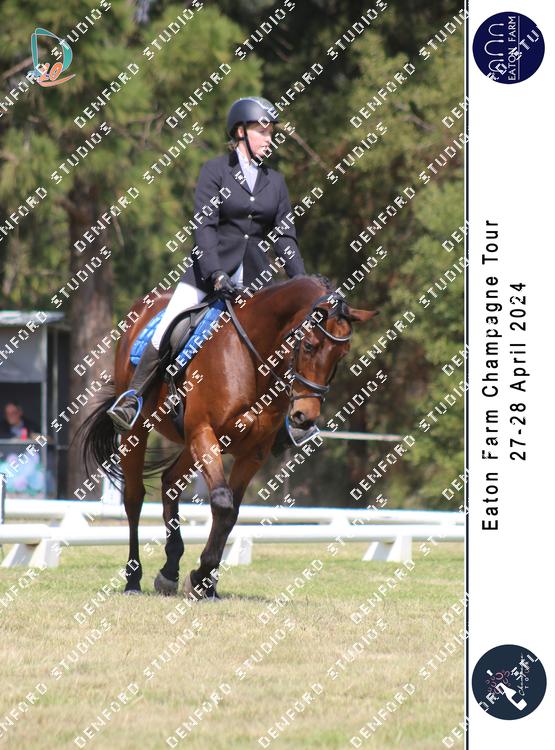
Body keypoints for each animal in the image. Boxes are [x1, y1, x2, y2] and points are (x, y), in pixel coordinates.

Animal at [78, 274, 377, 598]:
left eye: (342, 355)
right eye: (309, 345)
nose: (304, 417)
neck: (254, 360)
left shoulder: (252, 452)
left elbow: (232, 514)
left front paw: (204, 582)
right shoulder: (204, 433)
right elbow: (222, 502)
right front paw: (201, 576)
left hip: (190, 444)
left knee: (170, 481)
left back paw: (169, 571)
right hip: (139, 429)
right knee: (134, 498)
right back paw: (133, 580)